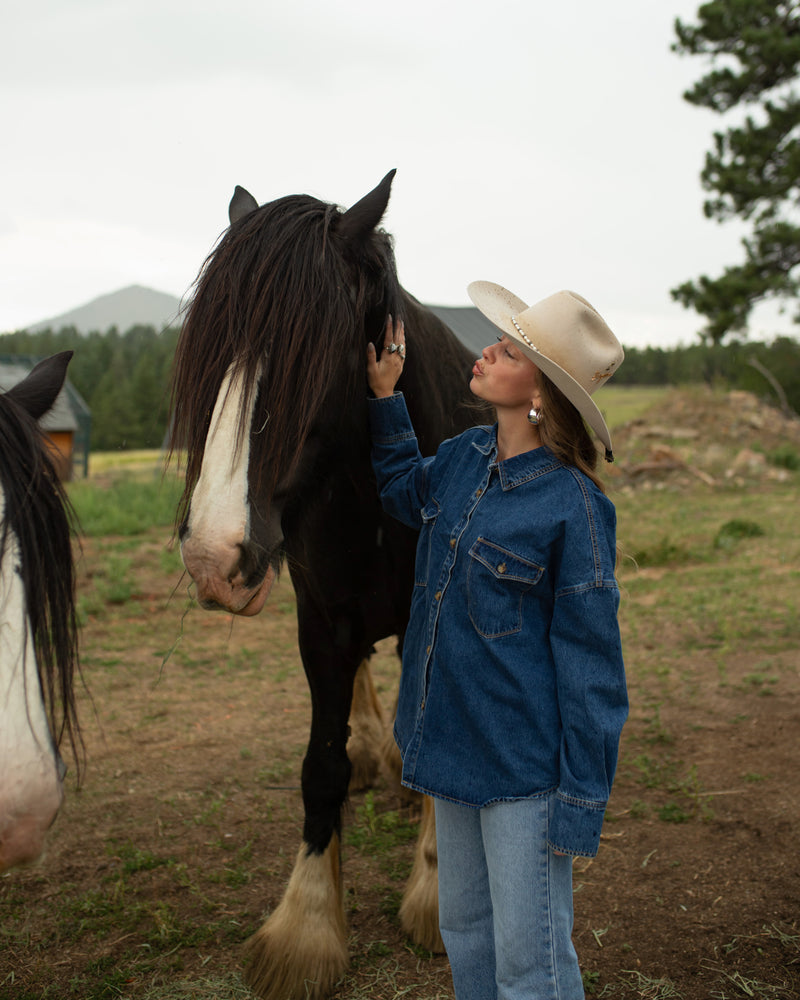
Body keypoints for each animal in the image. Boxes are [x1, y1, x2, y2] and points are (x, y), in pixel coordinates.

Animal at [170, 174, 482, 1000]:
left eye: (309, 356)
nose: (212, 557)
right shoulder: (320, 620)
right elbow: (321, 767)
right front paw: (306, 924)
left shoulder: (431, 616)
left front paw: (434, 896)